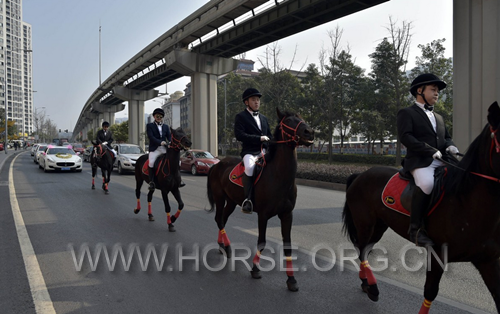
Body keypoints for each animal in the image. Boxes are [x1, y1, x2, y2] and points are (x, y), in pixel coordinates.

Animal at [206, 108, 314, 292]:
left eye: (301, 117)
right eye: (289, 121)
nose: (310, 132)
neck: (279, 176)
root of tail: (217, 163)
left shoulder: (287, 215)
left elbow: (288, 246)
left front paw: (291, 279)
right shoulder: (263, 215)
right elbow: (262, 242)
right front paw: (255, 269)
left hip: (232, 201)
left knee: (223, 219)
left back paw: (222, 245)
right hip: (220, 198)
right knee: (218, 219)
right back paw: (226, 247)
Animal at [344, 101, 500, 314]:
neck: (466, 201)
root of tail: (359, 175)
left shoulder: (487, 260)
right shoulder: (437, 255)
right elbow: (430, 292)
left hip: (379, 225)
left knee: (365, 250)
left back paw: (366, 283)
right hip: (365, 224)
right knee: (361, 250)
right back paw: (373, 287)